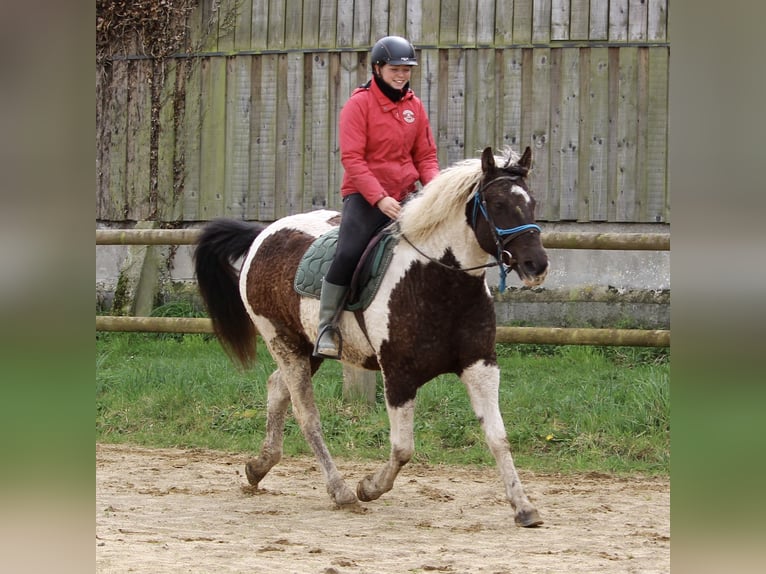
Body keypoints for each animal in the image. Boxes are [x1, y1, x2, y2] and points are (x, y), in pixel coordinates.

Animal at [195, 146, 548, 528]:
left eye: (531, 202)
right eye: (497, 204)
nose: (537, 265)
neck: (436, 280)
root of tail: (263, 234)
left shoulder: (480, 366)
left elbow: (498, 438)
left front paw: (523, 507)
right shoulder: (398, 375)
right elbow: (403, 448)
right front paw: (368, 487)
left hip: (307, 349)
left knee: (276, 389)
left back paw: (258, 468)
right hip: (283, 342)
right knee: (307, 416)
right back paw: (341, 492)